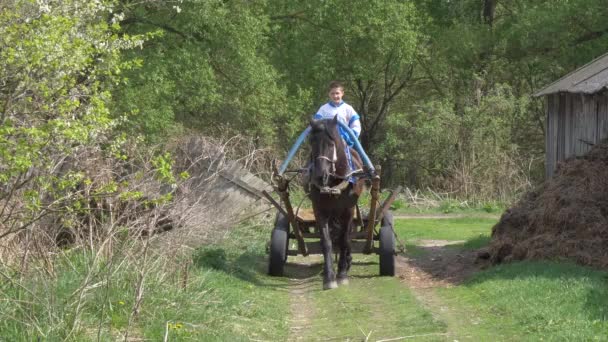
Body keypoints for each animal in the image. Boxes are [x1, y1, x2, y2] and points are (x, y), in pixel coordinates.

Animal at [312, 117, 364, 288]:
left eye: (331, 143)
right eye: (311, 143)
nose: (320, 175)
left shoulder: (348, 210)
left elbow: (344, 240)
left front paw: (341, 274)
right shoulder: (319, 210)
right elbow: (326, 242)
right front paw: (329, 277)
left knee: (346, 237)